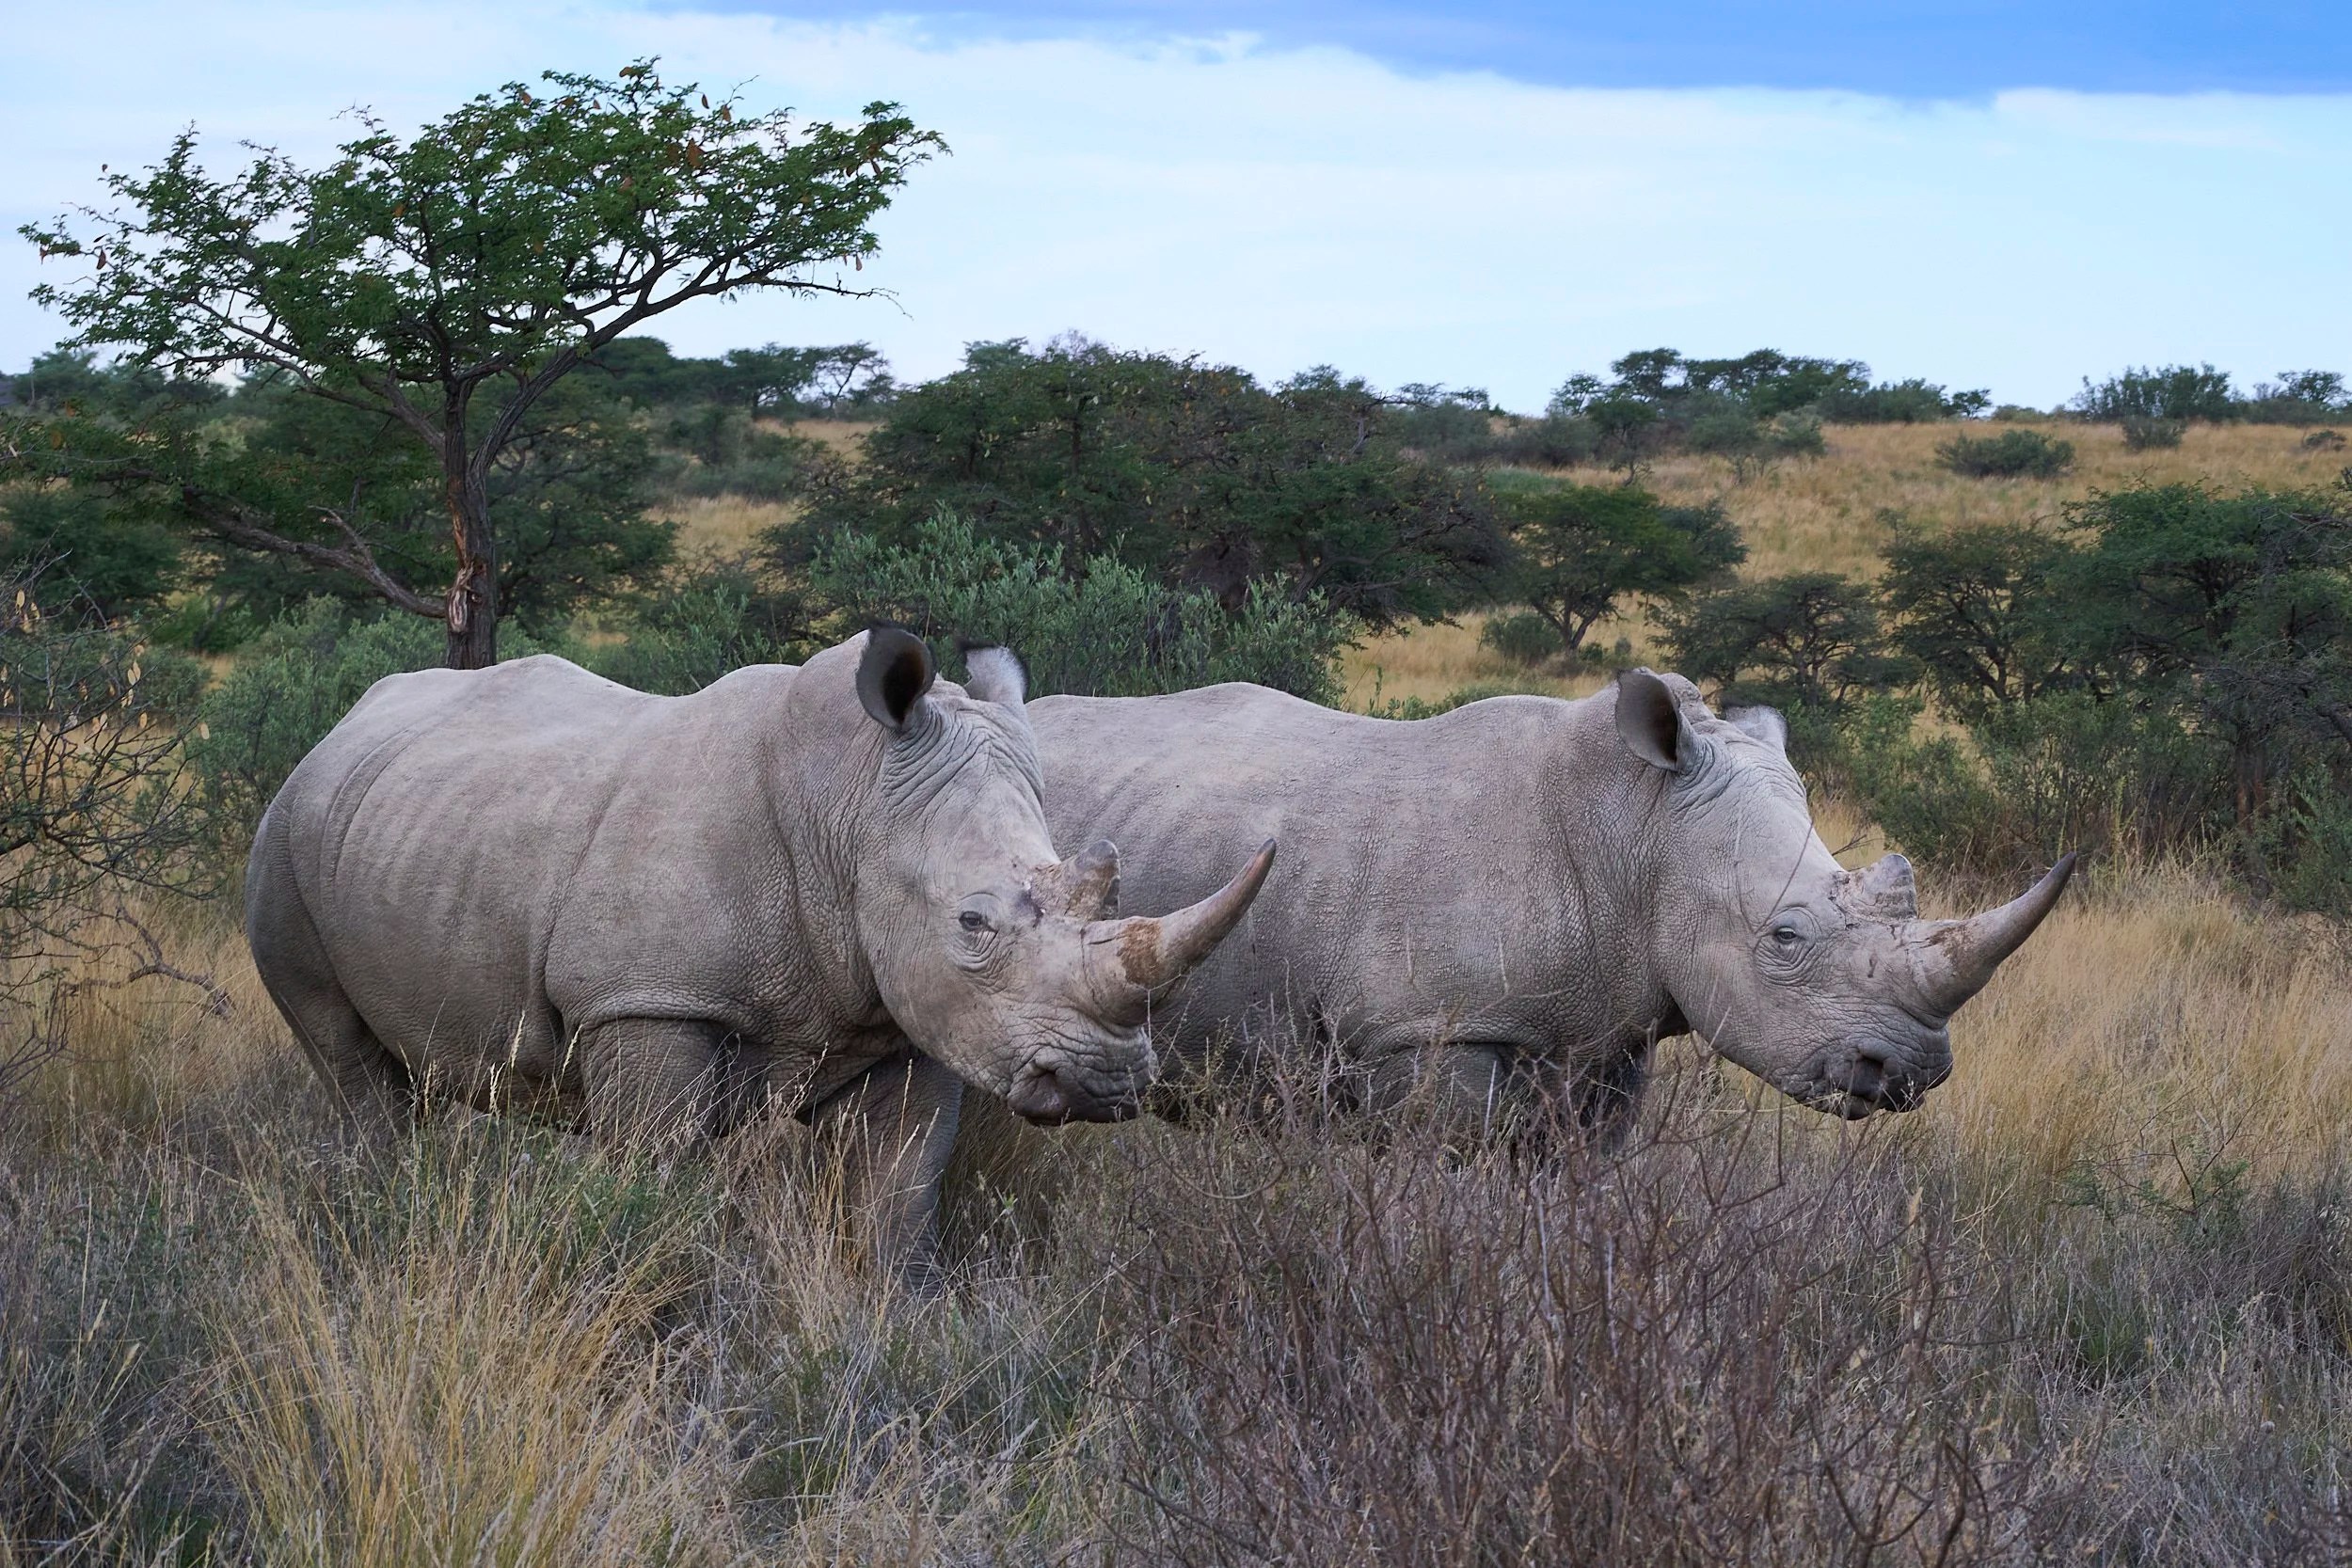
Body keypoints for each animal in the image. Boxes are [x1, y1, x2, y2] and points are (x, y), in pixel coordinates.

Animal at [244, 629, 1274, 1274]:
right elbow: (654, 1182)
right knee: (349, 1062)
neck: (852, 804)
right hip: (282, 843)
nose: (1108, 1081)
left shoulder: (913, 1012)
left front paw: (899, 1321)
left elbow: (901, 1195)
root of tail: (337, 728)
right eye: (974, 922)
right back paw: (380, 1212)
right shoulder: (647, 1000)